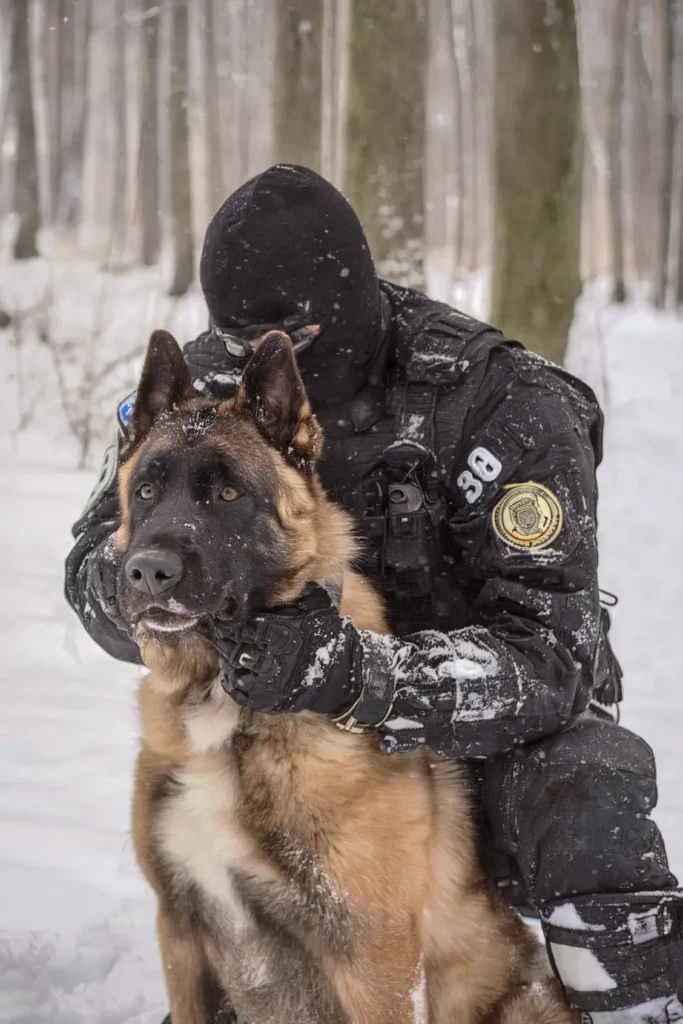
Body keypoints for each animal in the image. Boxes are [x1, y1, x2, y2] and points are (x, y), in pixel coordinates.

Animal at [114, 329, 573, 1024]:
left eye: (227, 495)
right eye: (145, 491)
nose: (146, 572)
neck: (224, 699)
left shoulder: (375, 961)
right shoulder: (181, 935)